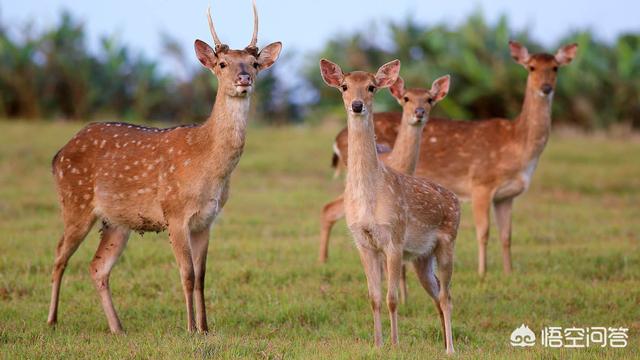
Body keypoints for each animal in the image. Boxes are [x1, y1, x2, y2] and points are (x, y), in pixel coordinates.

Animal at [46, 0, 282, 334]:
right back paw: (52, 320)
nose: (244, 78)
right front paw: (191, 329)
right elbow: (187, 274)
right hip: (75, 202)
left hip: (116, 221)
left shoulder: (207, 220)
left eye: (255, 63)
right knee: (58, 256)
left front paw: (206, 328)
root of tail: (58, 155)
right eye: (223, 63)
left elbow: (202, 276)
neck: (208, 166)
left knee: (97, 267)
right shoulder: (175, 213)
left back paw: (118, 328)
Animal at [320, 58, 460, 352]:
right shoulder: (363, 242)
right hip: (422, 257)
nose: (357, 105)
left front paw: (395, 344)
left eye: (372, 87)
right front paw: (377, 343)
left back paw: (450, 348)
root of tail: (455, 200)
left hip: (448, 241)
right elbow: (373, 297)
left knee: (446, 296)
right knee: (437, 291)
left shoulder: (394, 238)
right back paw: (443, 342)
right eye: (344, 86)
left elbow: (391, 298)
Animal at [322, 43, 576, 278]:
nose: (546, 88)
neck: (517, 145)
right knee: (329, 208)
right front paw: (482, 273)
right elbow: (483, 231)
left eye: (555, 67)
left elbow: (506, 235)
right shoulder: (481, 183)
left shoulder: (506, 195)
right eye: (531, 67)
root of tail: (336, 139)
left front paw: (508, 273)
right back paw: (323, 261)